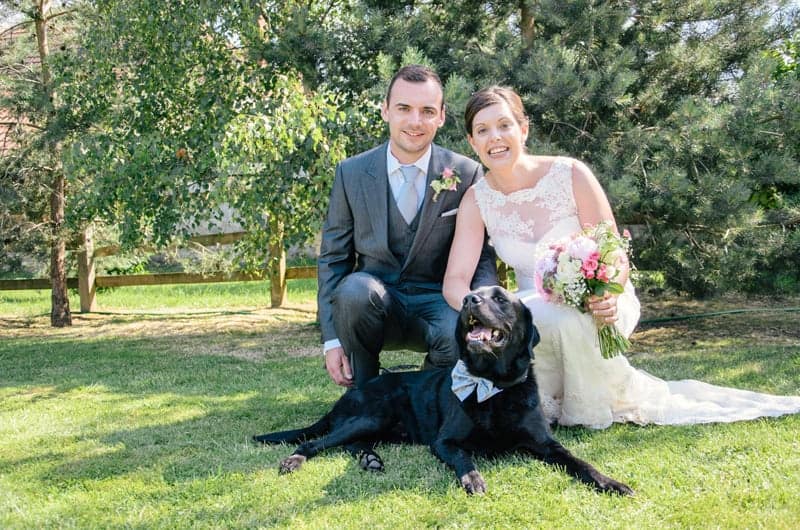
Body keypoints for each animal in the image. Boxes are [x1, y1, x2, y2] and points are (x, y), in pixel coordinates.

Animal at [253, 285, 633, 496]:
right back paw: (295, 460)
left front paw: (611, 482)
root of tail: (350, 392)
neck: (492, 386)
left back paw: (370, 459)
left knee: (351, 443)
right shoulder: (445, 441)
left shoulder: (546, 443)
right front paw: (473, 479)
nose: (468, 299)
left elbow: (581, 462)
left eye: (500, 299)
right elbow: (465, 457)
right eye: (473, 296)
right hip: (375, 414)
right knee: (317, 441)